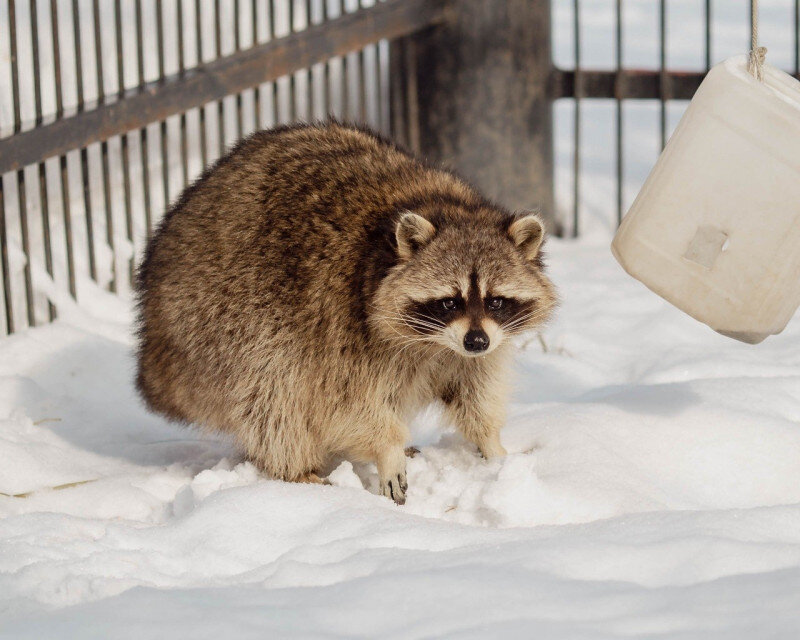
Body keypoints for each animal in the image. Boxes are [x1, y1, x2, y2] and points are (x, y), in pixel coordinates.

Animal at [134, 121, 552, 504]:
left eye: (496, 301)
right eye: (450, 301)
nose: (476, 341)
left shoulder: (477, 346)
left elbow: (476, 392)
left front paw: (493, 447)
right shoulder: (339, 321)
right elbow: (342, 405)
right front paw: (387, 447)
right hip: (215, 319)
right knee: (272, 389)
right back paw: (294, 470)